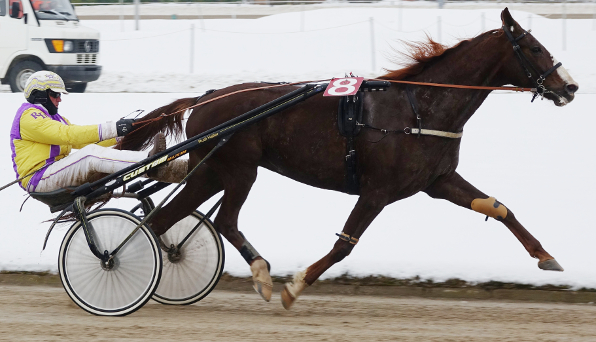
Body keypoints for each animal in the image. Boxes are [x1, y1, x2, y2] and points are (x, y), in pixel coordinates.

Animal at [117, 9, 576, 310]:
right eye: (534, 47)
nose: (569, 87)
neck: (420, 108)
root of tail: (207, 97)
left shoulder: (438, 180)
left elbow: (499, 208)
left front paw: (546, 256)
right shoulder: (377, 190)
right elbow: (344, 245)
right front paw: (294, 287)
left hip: (212, 171)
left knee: (165, 218)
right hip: (238, 170)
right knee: (222, 220)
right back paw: (259, 275)